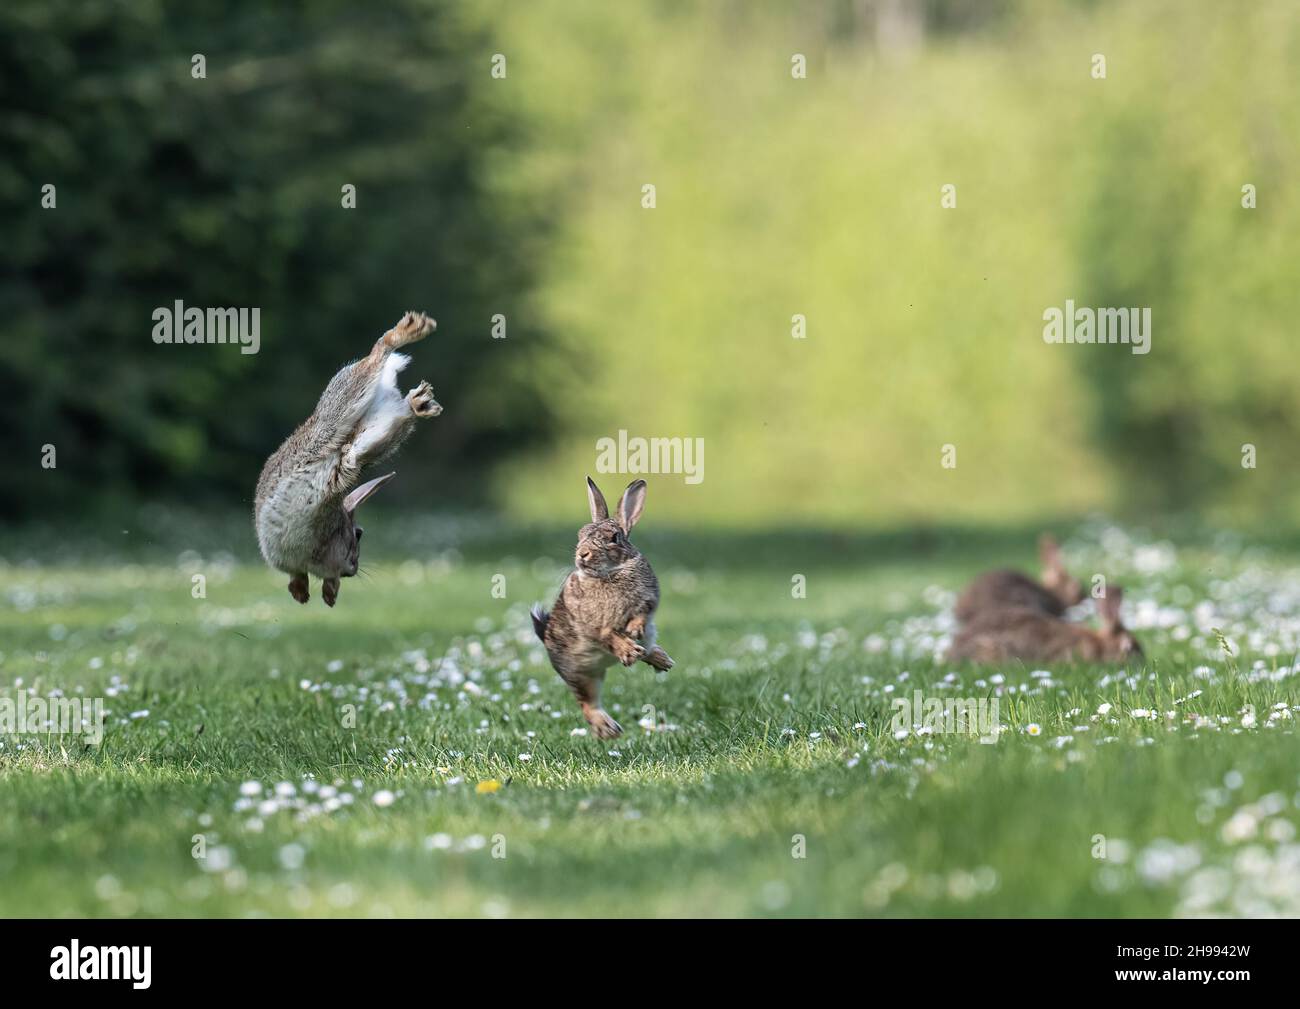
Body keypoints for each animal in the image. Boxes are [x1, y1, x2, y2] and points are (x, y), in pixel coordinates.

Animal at [253, 310, 441, 603]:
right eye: (359, 534)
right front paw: (307, 594)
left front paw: (319, 594)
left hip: (351, 434)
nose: (353, 569)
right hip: (339, 416)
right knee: (376, 356)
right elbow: (302, 574)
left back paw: (419, 395)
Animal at [530, 475, 676, 738]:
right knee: (587, 703)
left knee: (649, 648)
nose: (582, 554)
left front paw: (634, 632)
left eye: (614, 538)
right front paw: (628, 651)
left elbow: (641, 614)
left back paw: (661, 659)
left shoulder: (648, 601)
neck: (609, 574)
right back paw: (609, 729)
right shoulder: (592, 626)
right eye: (580, 535)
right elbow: (607, 635)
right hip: (580, 674)